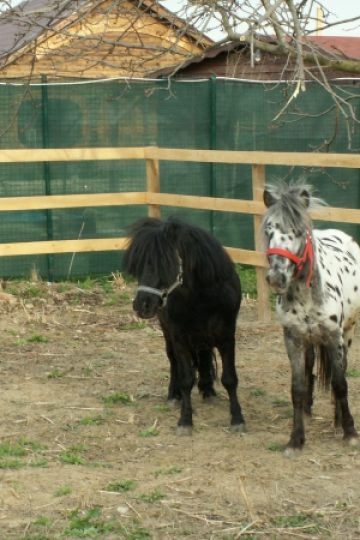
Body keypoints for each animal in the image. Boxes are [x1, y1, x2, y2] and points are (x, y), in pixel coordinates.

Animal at [123, 215, 245, 434]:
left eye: (165, 263)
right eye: (138, 265)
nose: (141, 305)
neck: (202, 296)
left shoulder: (226, 335)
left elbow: (230, 378)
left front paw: (237, 419)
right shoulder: (179, 336)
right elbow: (186, 379)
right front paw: (185, 421)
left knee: (204, 354)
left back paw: (208, 390)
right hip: (168, 331)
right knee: (173, 360)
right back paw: (174, 395)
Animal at [262, 182, 360, 456]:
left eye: (297, 231)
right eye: (268, 231)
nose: (277, 278)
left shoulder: (334, 337)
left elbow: (340, 382)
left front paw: (349, 432)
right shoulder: (292, 339)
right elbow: (297, 387)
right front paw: (296, 439)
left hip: (348, 333)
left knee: (341, 371)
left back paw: (338, 418)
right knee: (309, 368)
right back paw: (307, 410)